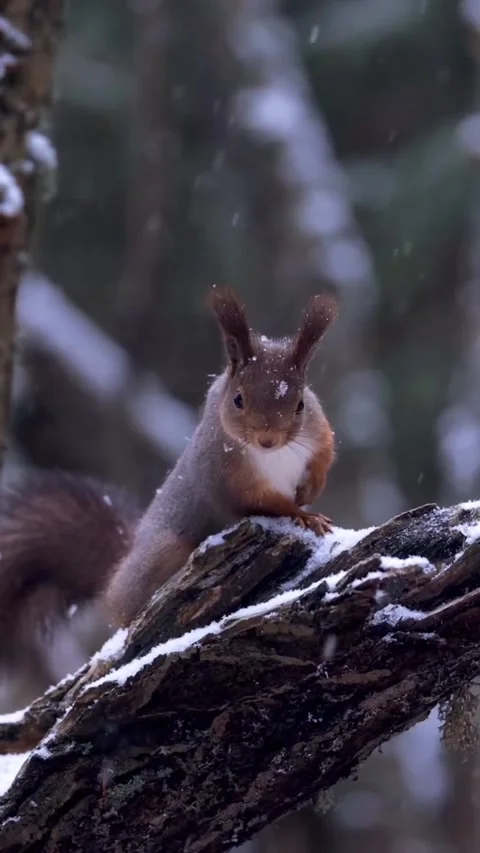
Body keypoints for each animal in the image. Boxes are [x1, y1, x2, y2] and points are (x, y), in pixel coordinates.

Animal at [0, 288, 337, 704]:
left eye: (301, 404)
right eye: (238, 399)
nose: (267, 439)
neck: (277, 456)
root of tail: (123, 564)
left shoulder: (319, 435)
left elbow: (323, 459)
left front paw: (311, 495)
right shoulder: (227, 475)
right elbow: (264, 502)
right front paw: (302, 514)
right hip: (166, 554)